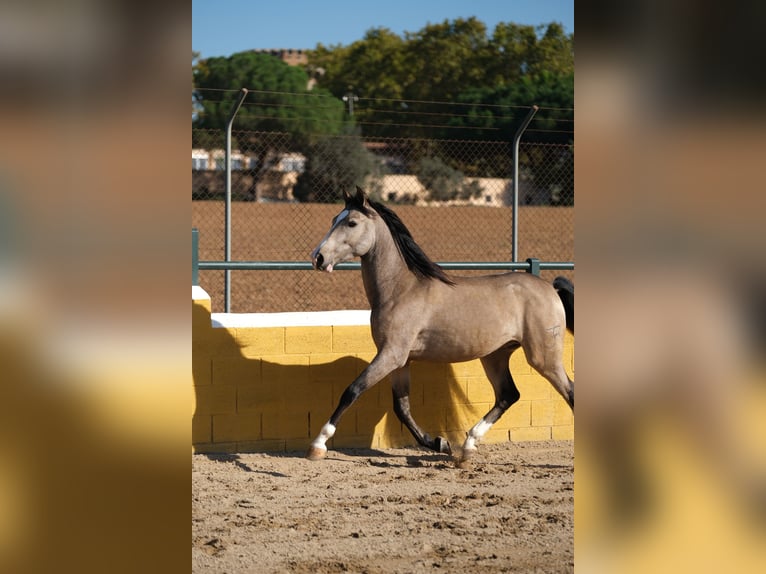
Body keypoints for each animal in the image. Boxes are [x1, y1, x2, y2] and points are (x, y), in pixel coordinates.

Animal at [308, 187, 572, 466]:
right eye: (334, 219)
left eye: (352, 222)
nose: (318, 257)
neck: (401, 290)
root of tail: (550, 289)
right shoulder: (401, 360)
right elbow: (402, 408)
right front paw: (440, 444)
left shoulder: (391, 354)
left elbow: (352, 390)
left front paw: (318, 445)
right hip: (495, 356)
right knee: (508, 395)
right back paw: (467, 448)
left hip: (543, 358)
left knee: (569, 393)